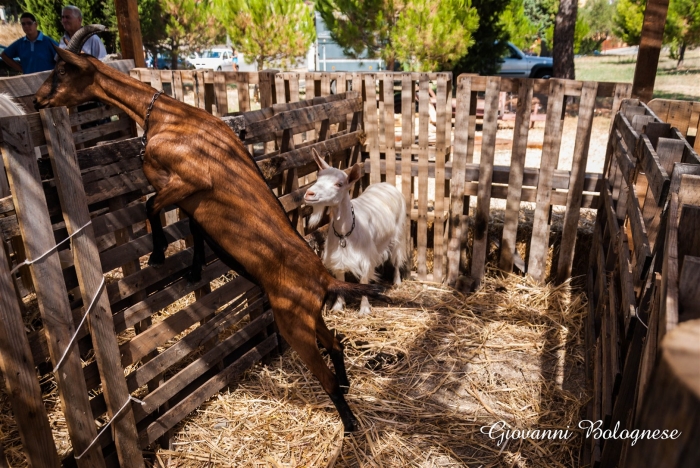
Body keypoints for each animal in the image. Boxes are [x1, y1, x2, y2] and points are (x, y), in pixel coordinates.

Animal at [35, 25, 386, 432]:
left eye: (62, 69)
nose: (38, 100)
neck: (169, 116)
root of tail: (323, 278)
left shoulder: (190, 181)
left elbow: (150, 206)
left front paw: (157, 255)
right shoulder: (191, 201)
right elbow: (193, 227)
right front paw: (193, 268)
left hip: (293, 322)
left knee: (325, 371)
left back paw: (350, 423)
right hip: (311, 316)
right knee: (336, 344)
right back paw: (347, 385)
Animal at [304, 152, 408, 314]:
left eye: (339, 184)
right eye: (318, 178)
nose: (309, 193)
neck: (345, 232)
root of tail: (386, 184)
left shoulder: (365, 258)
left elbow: (364, 279)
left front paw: (364, 310)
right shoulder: (337, 257)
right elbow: (341, 279)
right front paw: (337, 307)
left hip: (399, 233)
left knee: (396, 258)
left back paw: (397, 282)